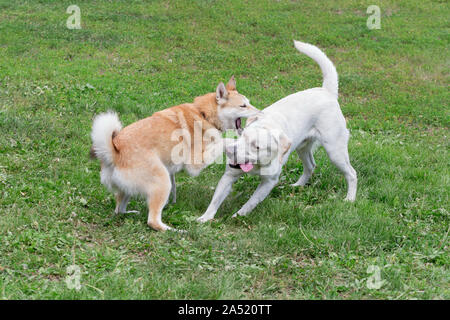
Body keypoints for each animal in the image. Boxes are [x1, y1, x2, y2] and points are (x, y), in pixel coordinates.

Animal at [89, 77, 258, 232]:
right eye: (243, 106)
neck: (203, 114)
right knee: (153, 221)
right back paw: (175, 230)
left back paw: (131, 212)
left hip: (131, 189)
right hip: (162, 182)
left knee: (119, 210)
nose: (259, 113)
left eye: (249, 102)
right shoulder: (195, 164)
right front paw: (233, 142)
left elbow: (175, 187)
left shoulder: (170, 170)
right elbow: (223, 141)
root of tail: (115, 151)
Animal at [199, 39, 356, 222]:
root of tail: (327, 91)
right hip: (303, 147)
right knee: (311, 165)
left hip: (335, 151)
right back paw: (297, 186)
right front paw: (204, 218)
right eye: (242, 136)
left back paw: (350, 199)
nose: (230, 151)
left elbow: (251, 202)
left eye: (257, 146)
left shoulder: (268, 183)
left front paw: (238, 216)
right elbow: (215, 200)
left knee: (351, 173)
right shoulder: (229, 175)